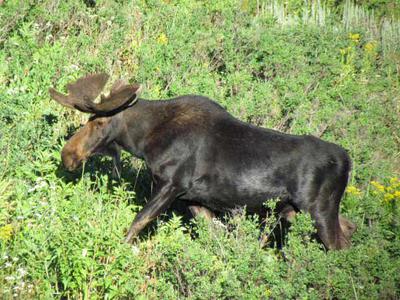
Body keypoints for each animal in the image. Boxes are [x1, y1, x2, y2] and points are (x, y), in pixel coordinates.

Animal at [50, 73, 356, 251]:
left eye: (99, 122)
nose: (68, 155)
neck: (146, 142)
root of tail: (347, 162)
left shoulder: (171, 185)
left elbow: (136, 224)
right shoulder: (194, 199)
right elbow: (213, 237)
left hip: (318, 209)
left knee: (339, 246)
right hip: (297, 211)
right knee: (349, 228)